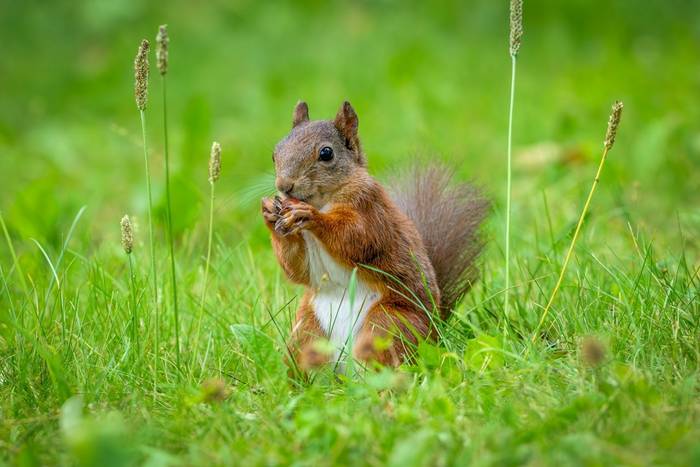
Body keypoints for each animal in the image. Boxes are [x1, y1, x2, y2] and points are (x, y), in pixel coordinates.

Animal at [261, 100, 488, 371]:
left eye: (326, 153)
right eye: (275, 153)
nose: (284, 186)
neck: (324, 200)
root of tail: (435, 331)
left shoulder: (372, 211)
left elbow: (356, 238)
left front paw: (312, 216)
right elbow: (298, 268)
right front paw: (270, 213)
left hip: (388, 325)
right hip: (307, 332)